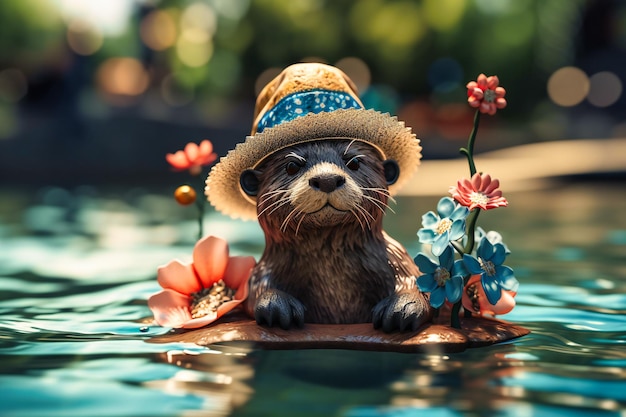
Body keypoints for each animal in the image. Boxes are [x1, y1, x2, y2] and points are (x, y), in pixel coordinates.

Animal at [238, 140, 428, 332]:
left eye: (354, 162)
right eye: (292, 166)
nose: (327, 180)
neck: (331, 272)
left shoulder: (394, 258)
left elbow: (415, 280)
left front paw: (402, 306)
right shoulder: (267, 267)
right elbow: (255, 289)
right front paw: (275, 304)